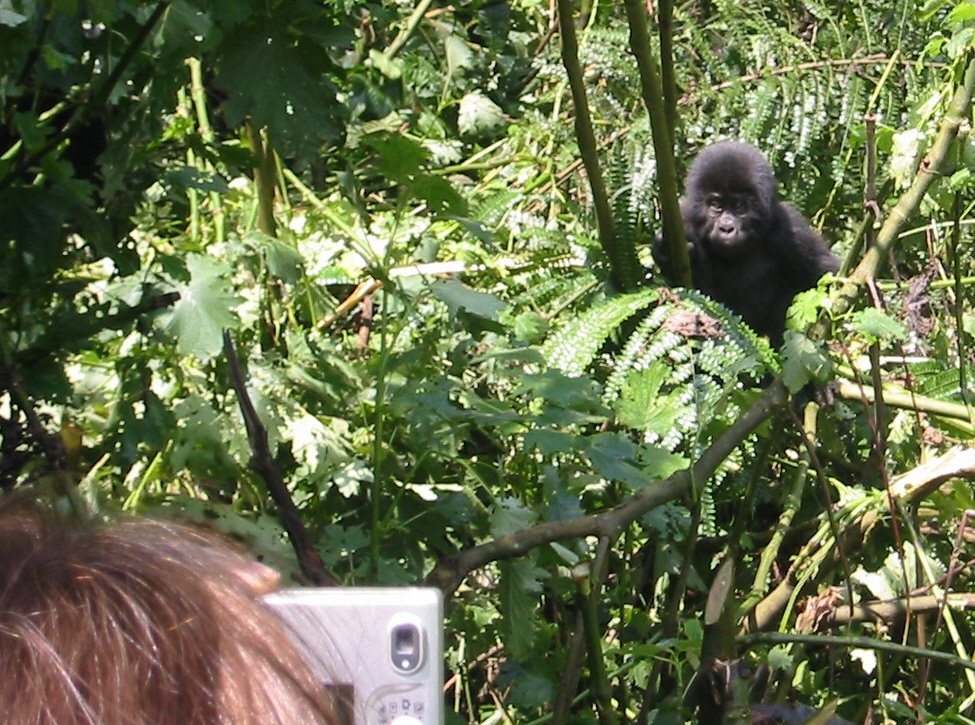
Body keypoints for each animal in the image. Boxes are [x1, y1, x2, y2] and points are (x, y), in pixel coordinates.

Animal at [652, 143, 844, 346]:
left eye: (739, 206)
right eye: (716, 205)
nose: (726, 228)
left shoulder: (791, 232)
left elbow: (826, 274)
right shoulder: (683, 220)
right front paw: (664, 252)